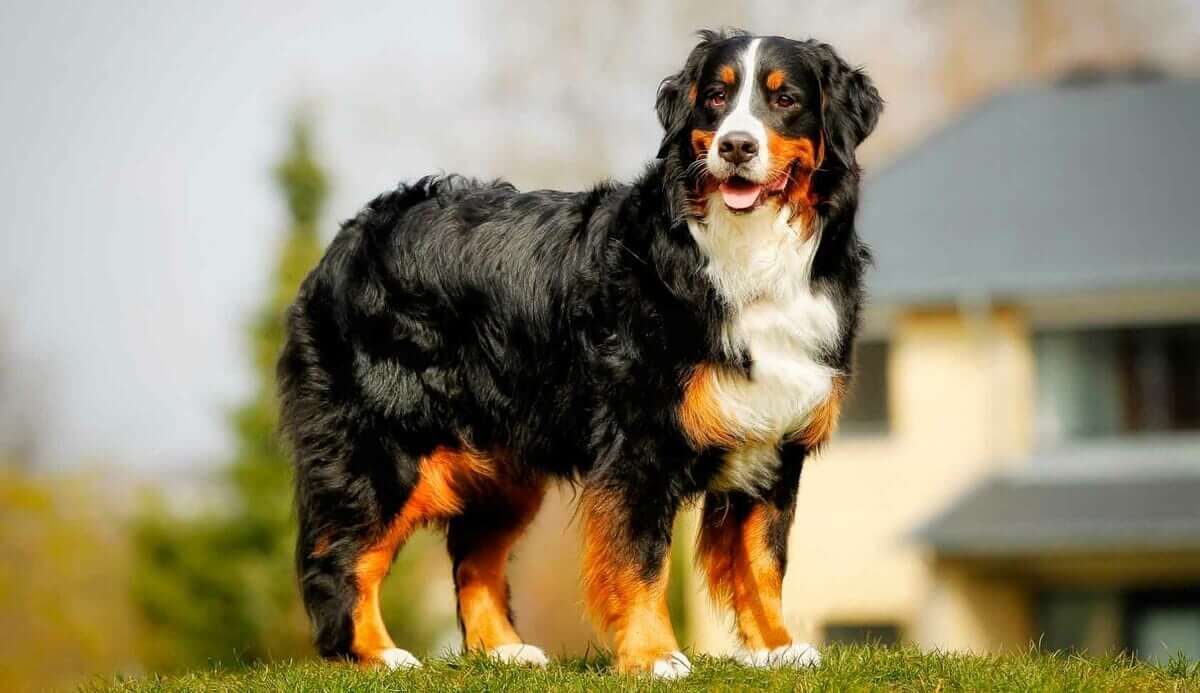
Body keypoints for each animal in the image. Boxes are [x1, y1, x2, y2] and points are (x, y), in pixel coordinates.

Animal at [278, 26, 883, 676]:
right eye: (716, 98)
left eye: (785, 99)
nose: (737, 146)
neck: (746, 255)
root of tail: (351, 236)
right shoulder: (639, 443)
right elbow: (641, 558)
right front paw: (654, 656)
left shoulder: (773, 438)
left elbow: (764, 560)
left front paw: (776, 648)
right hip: (384, 445)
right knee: (342, 556)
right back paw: (375, 654)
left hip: (503, 462)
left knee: (474, 555)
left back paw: (504, 650)